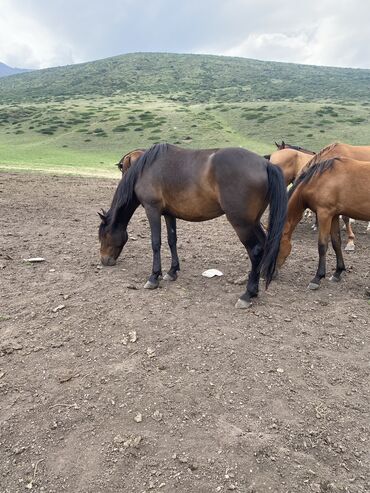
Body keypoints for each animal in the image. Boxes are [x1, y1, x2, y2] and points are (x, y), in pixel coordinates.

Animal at [97, 140, 286, 308]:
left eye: (103, 236)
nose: (105, 260)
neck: (145, 169)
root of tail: (265, 164)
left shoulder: (152, 210)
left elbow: (156, 243)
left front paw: (154, 277)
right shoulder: (169, 214)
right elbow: (171, 240)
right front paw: (172, 272)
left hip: (242, 224)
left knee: (255, 251)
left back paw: (247, 294)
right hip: (253, 222)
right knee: (264, 245)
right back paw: (255, 290)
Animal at [278, 157, 370, 288]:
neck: (319, 180)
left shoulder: (324, 214)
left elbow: (322, 246)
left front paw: (317, 278)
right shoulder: (334, 215)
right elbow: (336, 242)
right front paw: (337, 272)